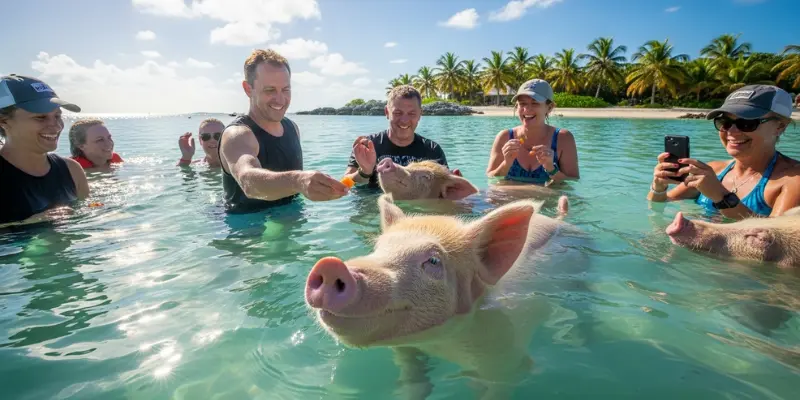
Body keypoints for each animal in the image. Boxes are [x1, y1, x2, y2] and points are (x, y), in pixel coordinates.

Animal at [305, 194, 575, 399]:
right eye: (379, 248)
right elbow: (412, 378)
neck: (439, 343)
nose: (331, 265)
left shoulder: (503, 359)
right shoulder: (405, 349)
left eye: (433, 261)